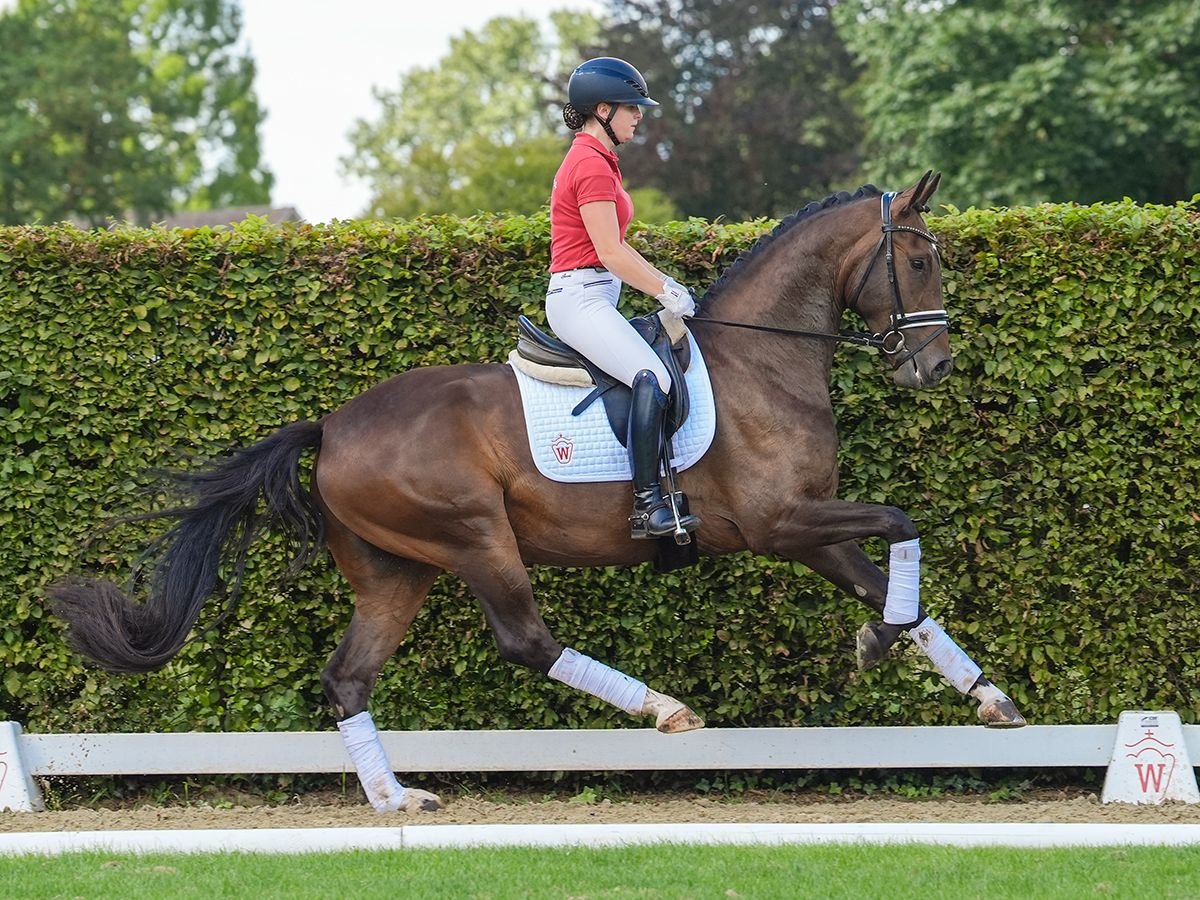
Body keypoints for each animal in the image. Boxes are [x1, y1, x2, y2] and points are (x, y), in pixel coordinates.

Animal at [44, 170, 1022, 816]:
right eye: (921, 263)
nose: (932, 368)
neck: (763, 359)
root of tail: (332, 427)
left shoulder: (811, 531)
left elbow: (900, 584)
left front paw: (987, 697)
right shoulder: (779, 524)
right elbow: (902, 524)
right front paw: (876, 644)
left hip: (397, 570)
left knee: (349, 677)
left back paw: (397, 799)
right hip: (475, 538)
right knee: (525, 641)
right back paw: (664, 711)